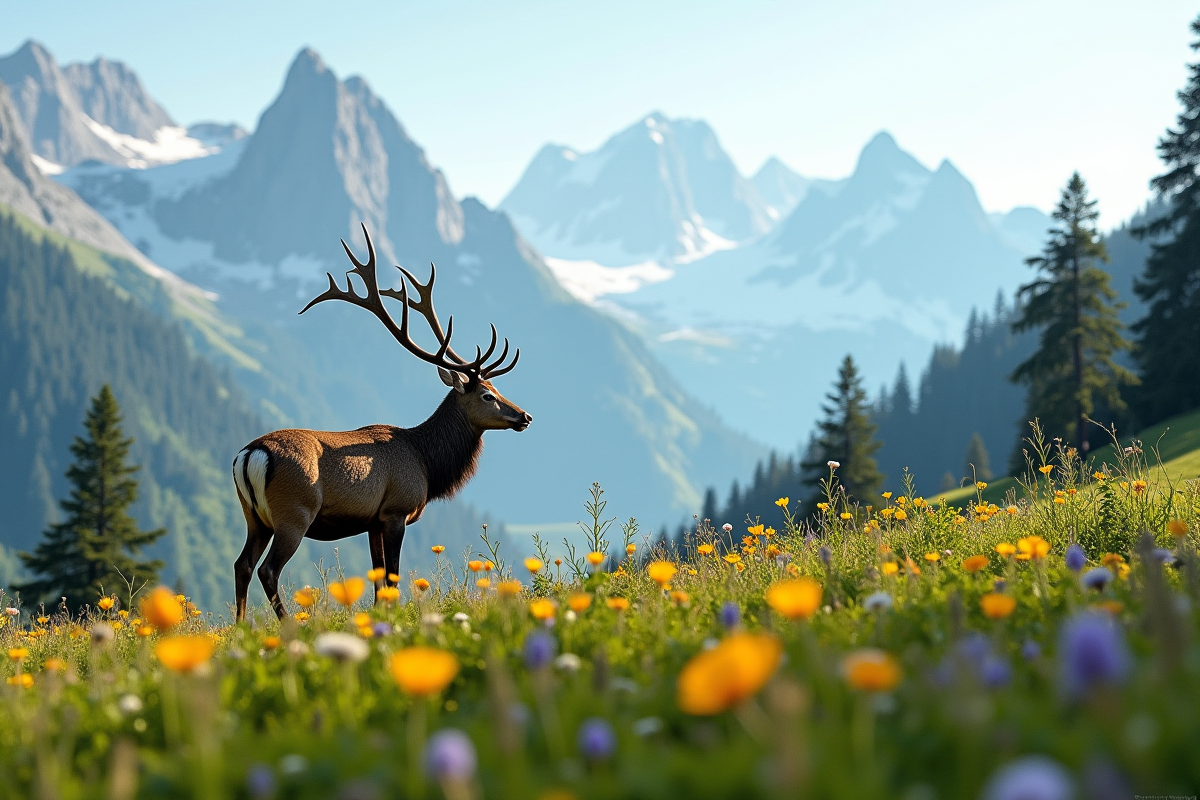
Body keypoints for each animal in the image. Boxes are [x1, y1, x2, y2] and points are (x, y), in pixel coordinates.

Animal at [231, 227, 532, 623]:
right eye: (486, 395)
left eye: (497, 389)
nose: (525, 416)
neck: (427, 464)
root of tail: (251, 454)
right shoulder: (395, 510)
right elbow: (392, 576)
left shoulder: (372, 520)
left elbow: (377, 578)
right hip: (294, 513)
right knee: (268, 569)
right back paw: (289, 626)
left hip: (254, 517)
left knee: (242, 564)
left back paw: (240, 627)